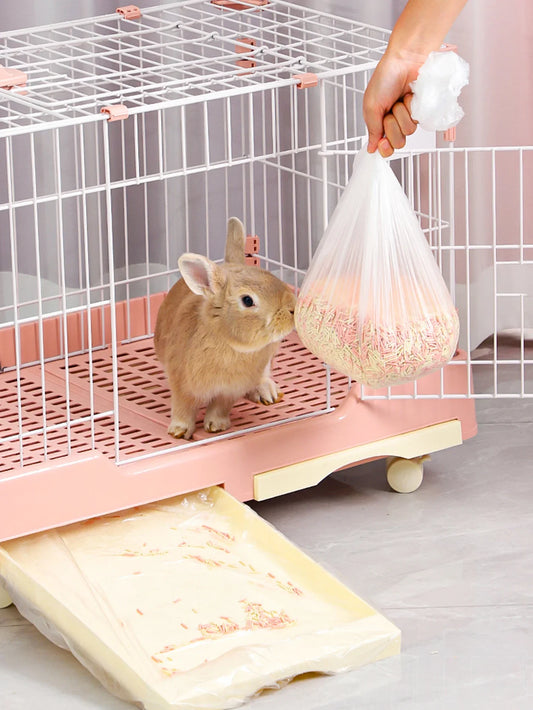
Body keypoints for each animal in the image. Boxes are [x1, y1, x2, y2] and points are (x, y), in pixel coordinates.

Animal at [154, 217, 296, 439]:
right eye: (247, 300)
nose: (293, 309)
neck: (228, 343)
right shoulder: (181, 383)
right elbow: (182, 408)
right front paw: (178, 431)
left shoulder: (230, 390)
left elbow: (220, 407)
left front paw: (216, 426)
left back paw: (267, 392)